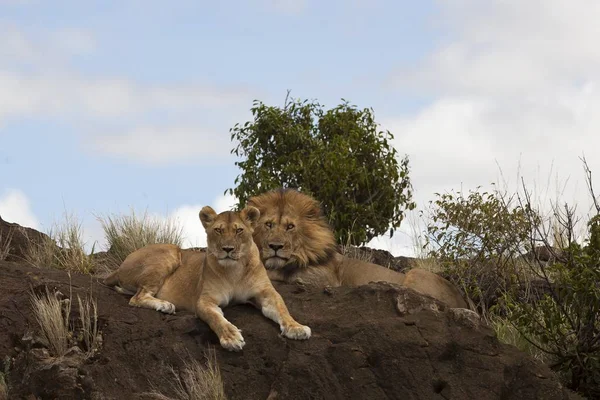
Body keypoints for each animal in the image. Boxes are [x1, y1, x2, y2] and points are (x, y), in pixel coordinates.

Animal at [102, 205, 310, 352]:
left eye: (239, 230)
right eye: (218, 230)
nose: (228, 249)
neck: (234, 270)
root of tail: (120, 265)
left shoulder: (266, 293)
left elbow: (282, 309)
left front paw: (296, 328)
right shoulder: (205, 300)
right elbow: (216, 318)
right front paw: (231, 337)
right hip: (169, 252)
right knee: (136, 297)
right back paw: (165, 305)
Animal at [246, 189, 466, 308]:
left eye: (290, 227)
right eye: (268, 225)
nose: (275, 246)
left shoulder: (322, 279)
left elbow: (273, 273)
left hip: (416, 272)